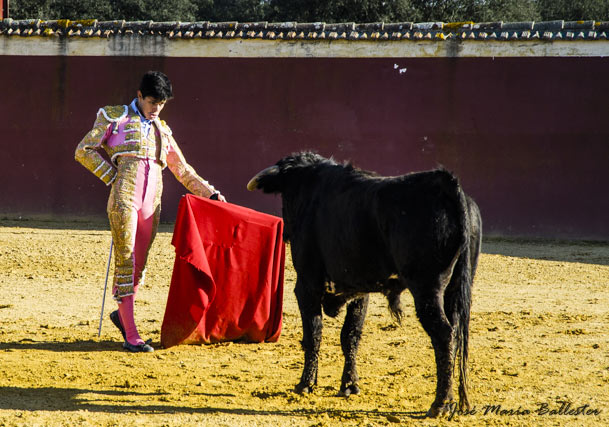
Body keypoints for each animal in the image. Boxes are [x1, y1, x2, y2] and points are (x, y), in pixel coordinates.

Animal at [246, 151, 480, 418]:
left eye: (287, 193)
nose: (286, 231)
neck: (309, 183)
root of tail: (447, 184)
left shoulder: (307, 284)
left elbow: (313, 333)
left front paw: (306, 384)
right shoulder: (358, 290)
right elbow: (350, 335)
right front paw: (349, 385)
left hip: (427, 288)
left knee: (443, 334)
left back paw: (441, 403)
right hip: (457, 287)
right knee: (457, 333)